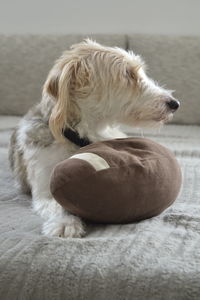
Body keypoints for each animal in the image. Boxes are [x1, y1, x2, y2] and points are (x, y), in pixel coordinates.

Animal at [8, 38, 180, 238]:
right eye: (127, 74)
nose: (175, 104)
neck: (81, 136)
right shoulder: (44, 187)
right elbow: (57, 204)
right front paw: (65, 221)